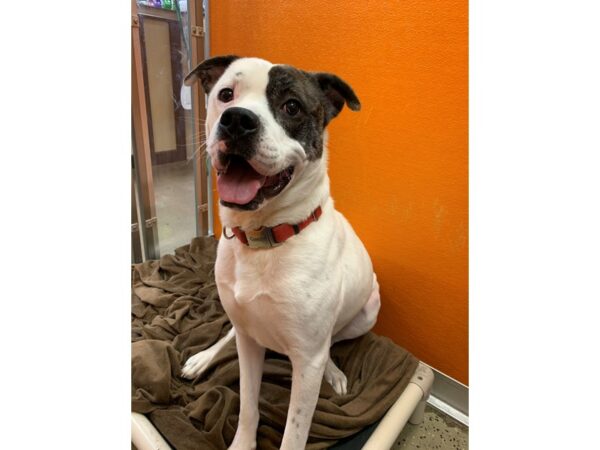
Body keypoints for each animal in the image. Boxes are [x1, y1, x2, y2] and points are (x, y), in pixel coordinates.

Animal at [180, 56, 382, 450]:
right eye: (225, 95)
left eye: (292, 106)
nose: (237, 120)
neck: (264, 238)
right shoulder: (247, 340)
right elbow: (247, 405)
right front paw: (242, 443)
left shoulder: (307, 361)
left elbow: (295, 432)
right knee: (229, 335)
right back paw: (203, 358)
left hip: (368, 311)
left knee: (332, 341)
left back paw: (334, 371)